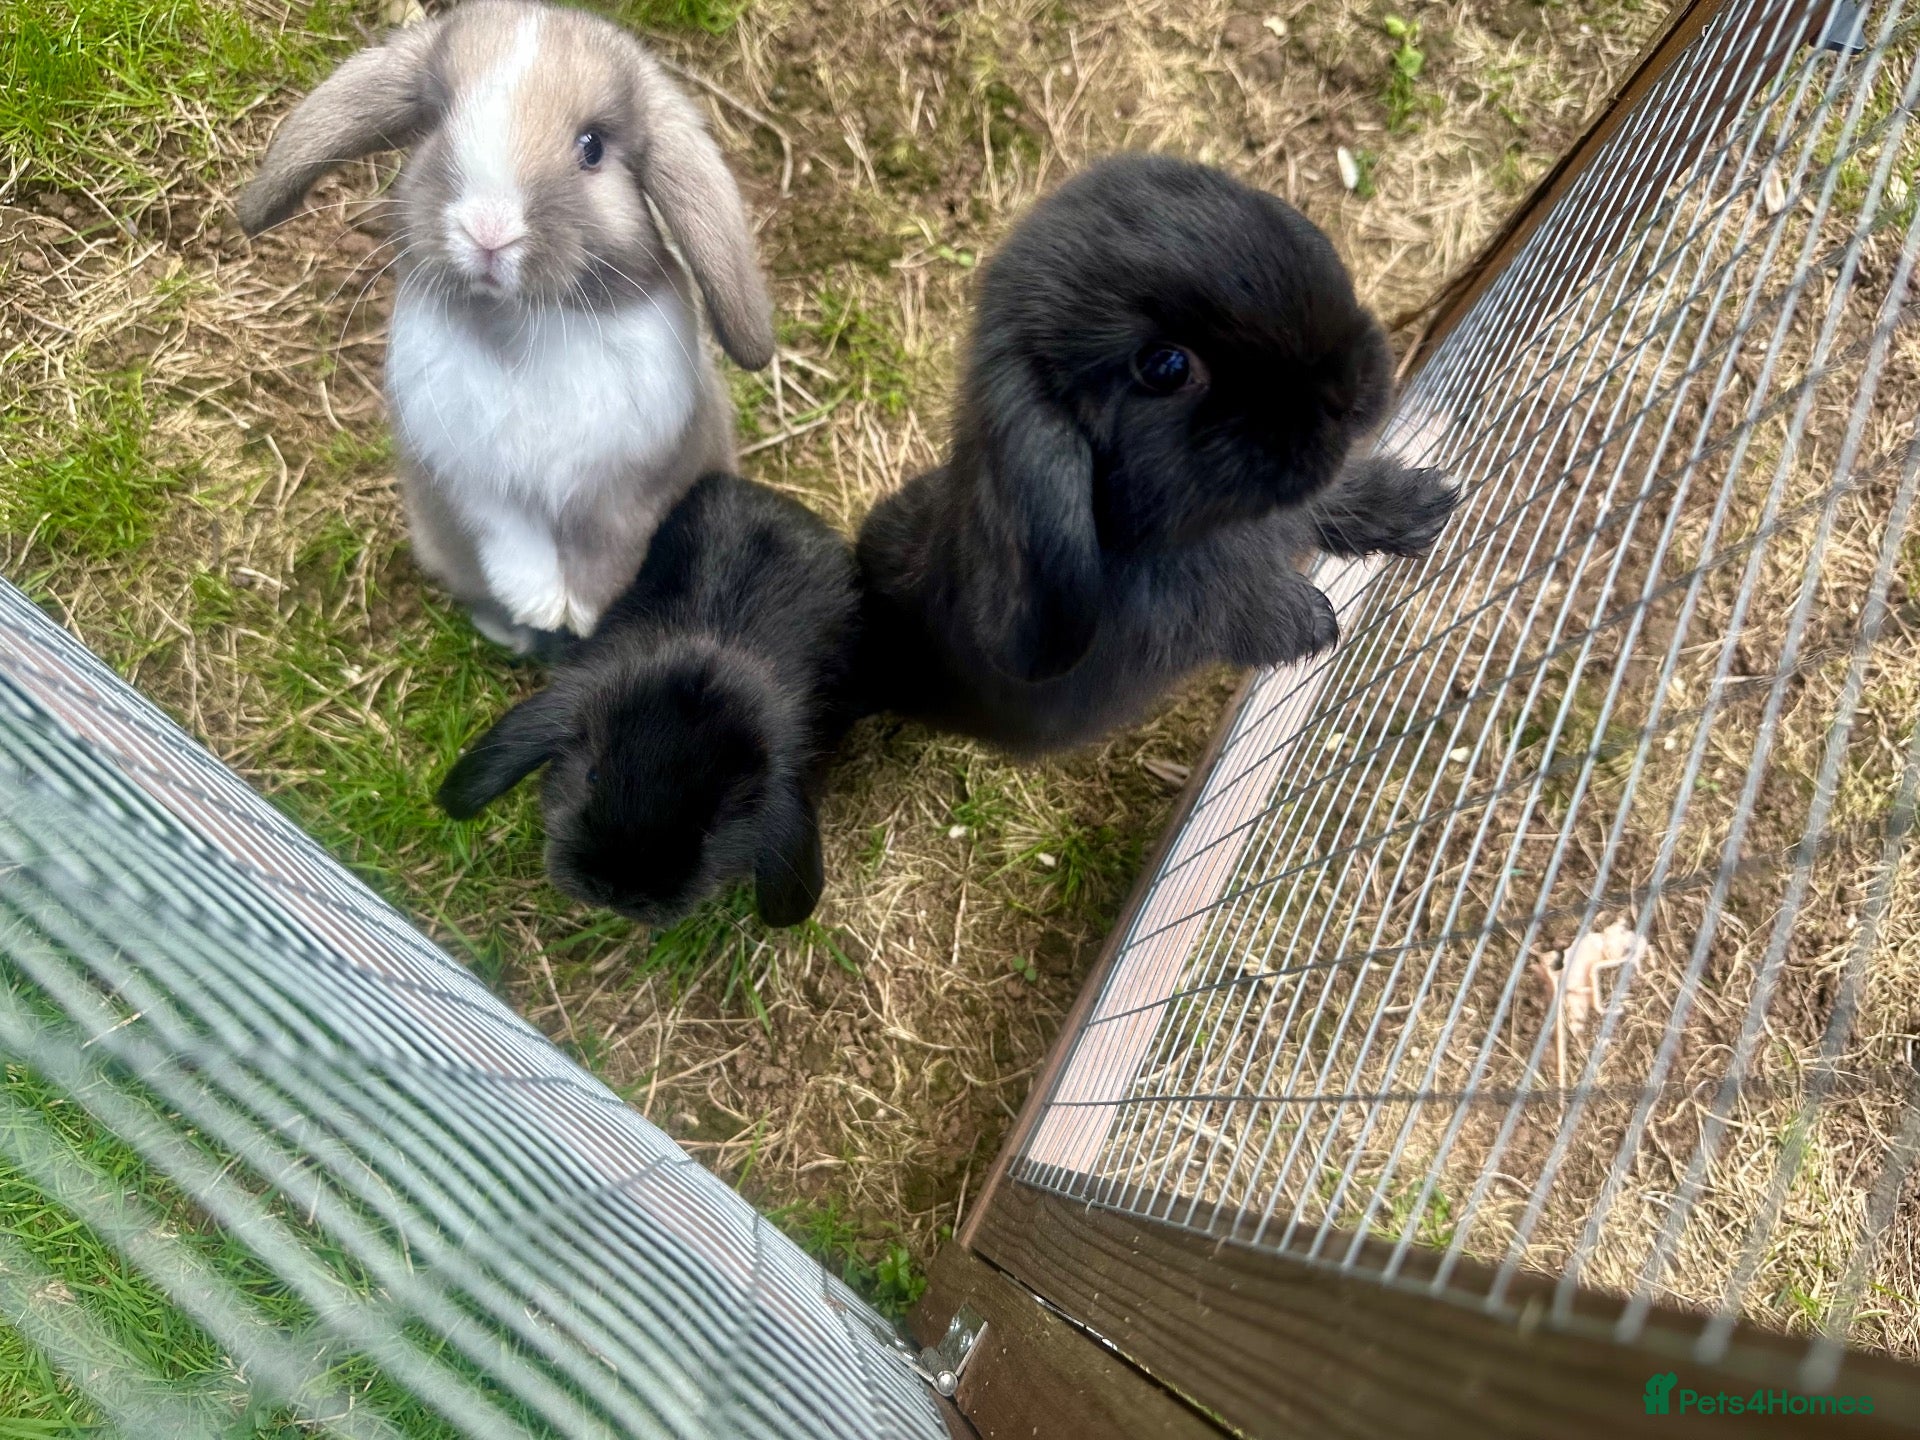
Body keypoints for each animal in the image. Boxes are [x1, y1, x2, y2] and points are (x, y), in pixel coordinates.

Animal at [235, 0, 775, 656]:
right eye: (437, 121)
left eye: (592, 147)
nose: (488, 229)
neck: (522, 322)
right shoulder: (470, 480)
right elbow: (511, 541)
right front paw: (541, 606)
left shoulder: (634, 481)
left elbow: (612, 543)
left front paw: (583, 614)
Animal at [854, 153, 1456, 756]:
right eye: (1165, 367)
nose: (1348, 388)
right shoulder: (1181, 617)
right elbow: (1235, 609)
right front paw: (1312, 623)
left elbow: (1336, 499)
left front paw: (1422, 505)